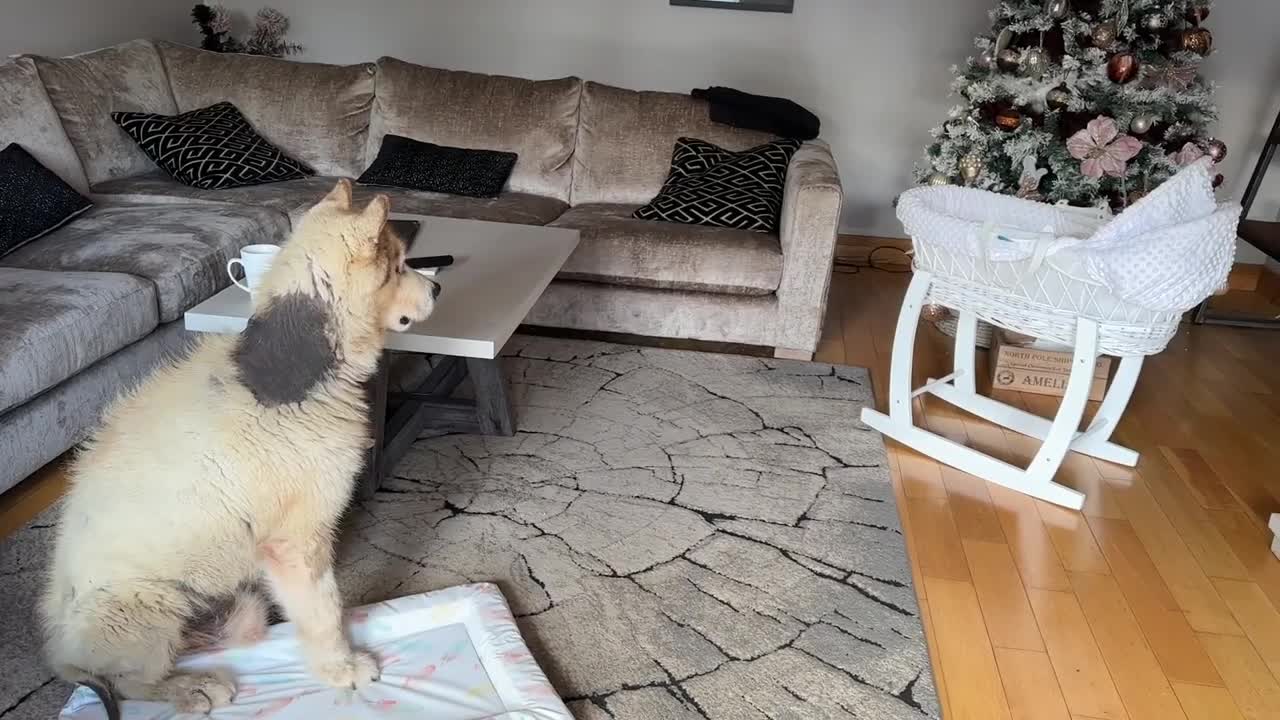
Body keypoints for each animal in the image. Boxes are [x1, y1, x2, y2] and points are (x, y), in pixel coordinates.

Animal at [40, 179, 440, 712]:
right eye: (397, 266)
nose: (438, 288)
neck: (293, 370)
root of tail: (61, 655)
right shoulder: (296, 541)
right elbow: (324, 609)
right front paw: (342, 668)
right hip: (147, 605)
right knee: (130, 683)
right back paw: (191, 687)